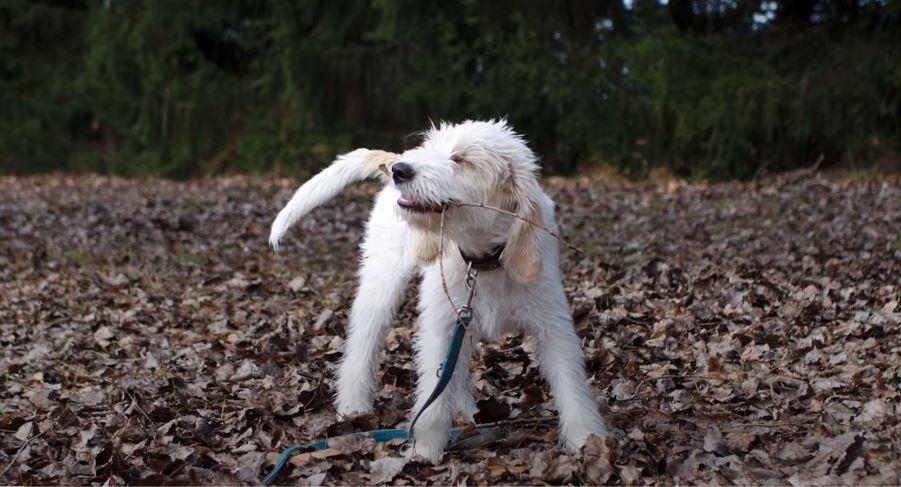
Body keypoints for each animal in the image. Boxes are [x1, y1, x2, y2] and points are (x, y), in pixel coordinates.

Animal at [268, 120, 604, 464]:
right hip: (382, 286)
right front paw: (425, 451)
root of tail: (395, 156)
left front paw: (586, 440)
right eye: (432, 149)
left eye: (460, 159)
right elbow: (432, 394)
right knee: (362, 347)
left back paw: (466, 414)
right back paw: (353, 407)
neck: (483, 261)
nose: (401, 171)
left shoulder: (552, 326)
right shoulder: (439, 328)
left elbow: (571, 385)